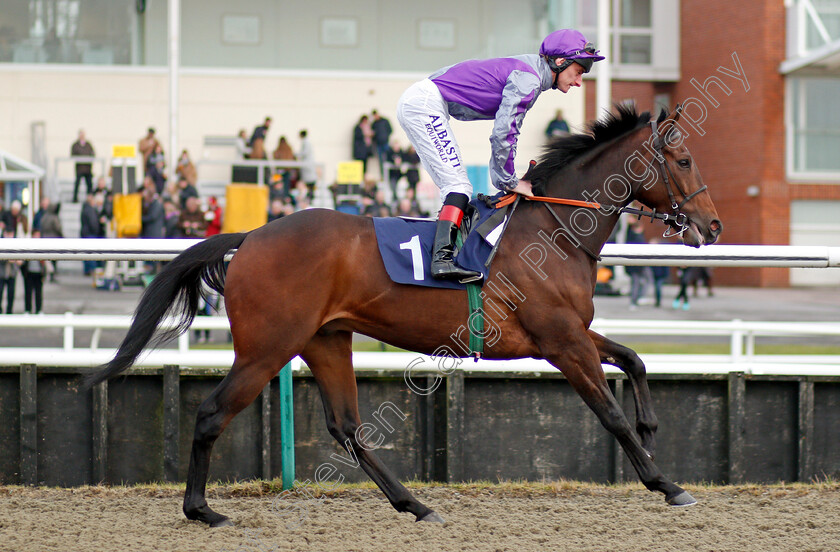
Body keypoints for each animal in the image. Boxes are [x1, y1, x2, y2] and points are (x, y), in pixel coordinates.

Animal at [87, 105, 720, 528]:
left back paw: (414, 503)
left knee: (347, 428)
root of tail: (252, 236)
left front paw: (651, 428)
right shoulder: (562, 341)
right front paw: (665, 482)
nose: (712, 226)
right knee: (212, 412)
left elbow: (633, 359)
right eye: (684, 159)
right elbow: (608, 413)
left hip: (326, 339)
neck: (555, 228)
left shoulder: (570, 332)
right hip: (267, 346)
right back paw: (202, 510)